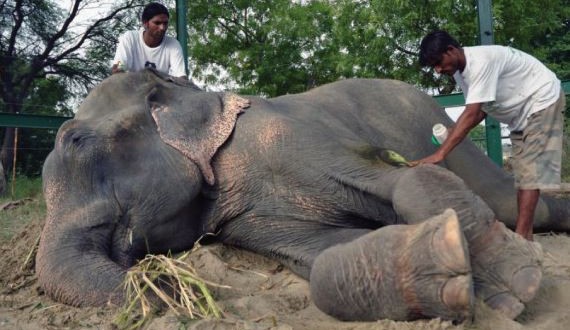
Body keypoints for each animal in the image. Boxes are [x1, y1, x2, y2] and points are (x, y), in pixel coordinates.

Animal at [36, 69, 568, 322]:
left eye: (76, 141)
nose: (164, 285)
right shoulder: (245, 217)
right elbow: (323, 256)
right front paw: (455, 272)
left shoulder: (289, 136)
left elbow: (401, 177)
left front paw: (515, 285)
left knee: (516, 200)